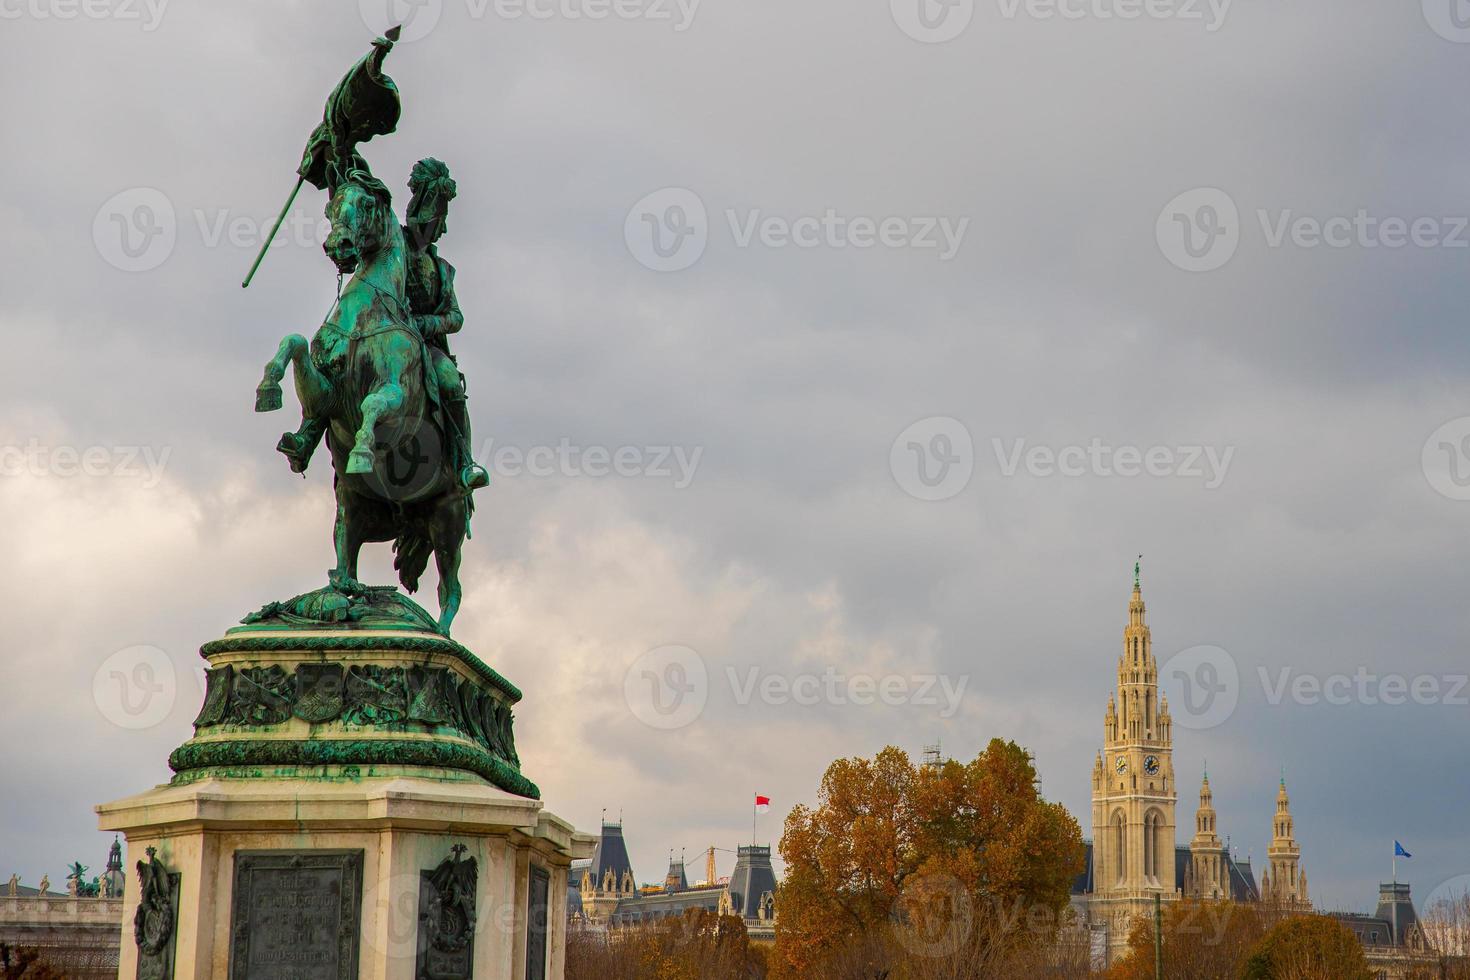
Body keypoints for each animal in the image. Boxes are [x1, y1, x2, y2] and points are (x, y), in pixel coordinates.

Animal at [254, 174, 464, 637]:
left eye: (367, 203)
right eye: (332, 206)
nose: (339, 246)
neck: (372, 308)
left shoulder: (399, 399)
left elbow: (373, 403)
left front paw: (364, 450)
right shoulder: (326, 393)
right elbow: (294, 342)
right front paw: (268, 389)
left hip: (448, 520)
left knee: (450, 588)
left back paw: (439, 633)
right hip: (351, 509)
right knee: (344, 567)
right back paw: (341, 602)